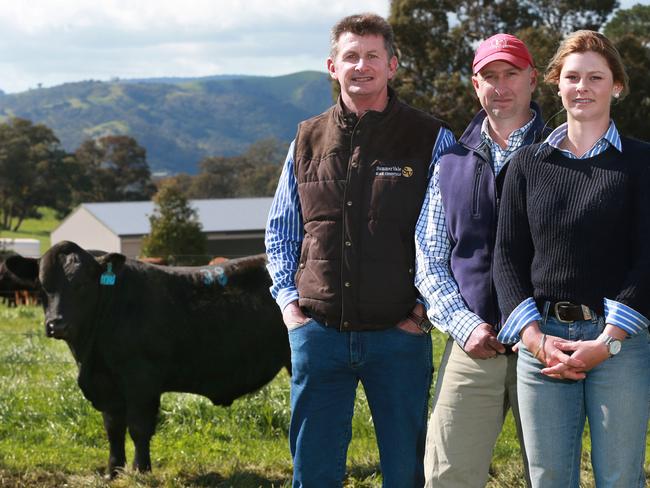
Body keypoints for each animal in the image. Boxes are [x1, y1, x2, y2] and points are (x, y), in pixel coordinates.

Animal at [6, 242, 288, 478]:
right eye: (42, 286)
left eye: (82, 284)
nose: (57, 324)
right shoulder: (107, 384)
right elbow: (113, 429)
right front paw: (113, 471)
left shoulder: (141, 382)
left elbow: (138, 428)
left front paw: (141, 470)